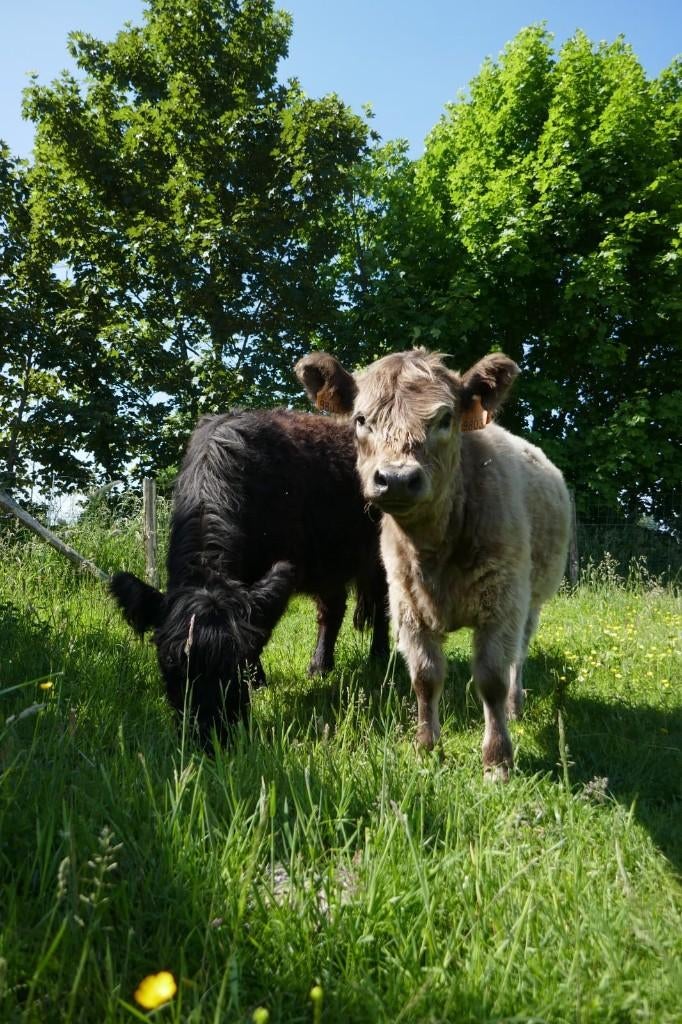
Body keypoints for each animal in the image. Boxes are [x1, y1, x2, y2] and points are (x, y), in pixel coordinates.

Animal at [110, 410, 389, 746]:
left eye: (236, 665)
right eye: (171, 665)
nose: (210, 736)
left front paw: (257, 679)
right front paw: (261, 681)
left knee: (383, 605)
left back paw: (379, 657)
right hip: (329, 560)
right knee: (331, 612)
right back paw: (319, 667)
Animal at [296, 349, 570, 780]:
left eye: (444, 419)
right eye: (361, 419)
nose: (396, 478)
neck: (434, 549)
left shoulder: (502, 604)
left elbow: (491, 678)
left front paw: (497, 761)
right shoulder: (407, 606)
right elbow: (425, 677)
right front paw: (426, 748)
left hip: (532, 601)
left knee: (518, 658)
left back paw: (515, 706)